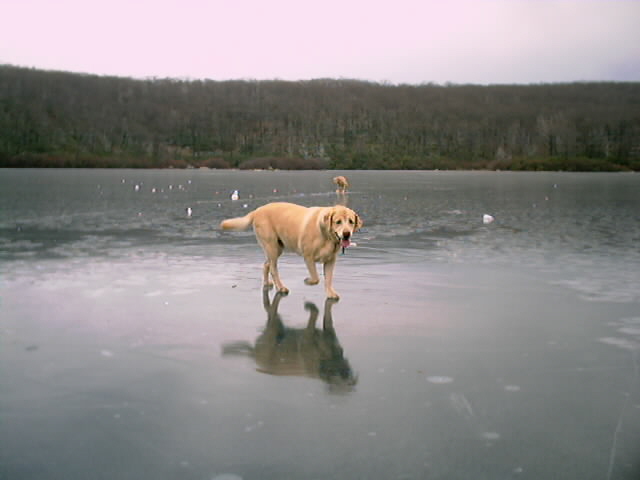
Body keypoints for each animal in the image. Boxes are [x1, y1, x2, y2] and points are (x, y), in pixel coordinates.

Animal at [219, 201, 360, 298]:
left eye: (351, 221)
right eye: (338, 222)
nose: (347, 234)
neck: (327, 236)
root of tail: (257, 210)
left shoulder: (330, 261)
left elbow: (328, 279)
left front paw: (330, 293)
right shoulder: (308, 257)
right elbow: (315, 278)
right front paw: (307, 281)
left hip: (277, 248)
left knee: (266, 264)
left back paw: (267, 283)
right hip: (272, 247)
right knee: (273, 269)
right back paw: (281, 287)